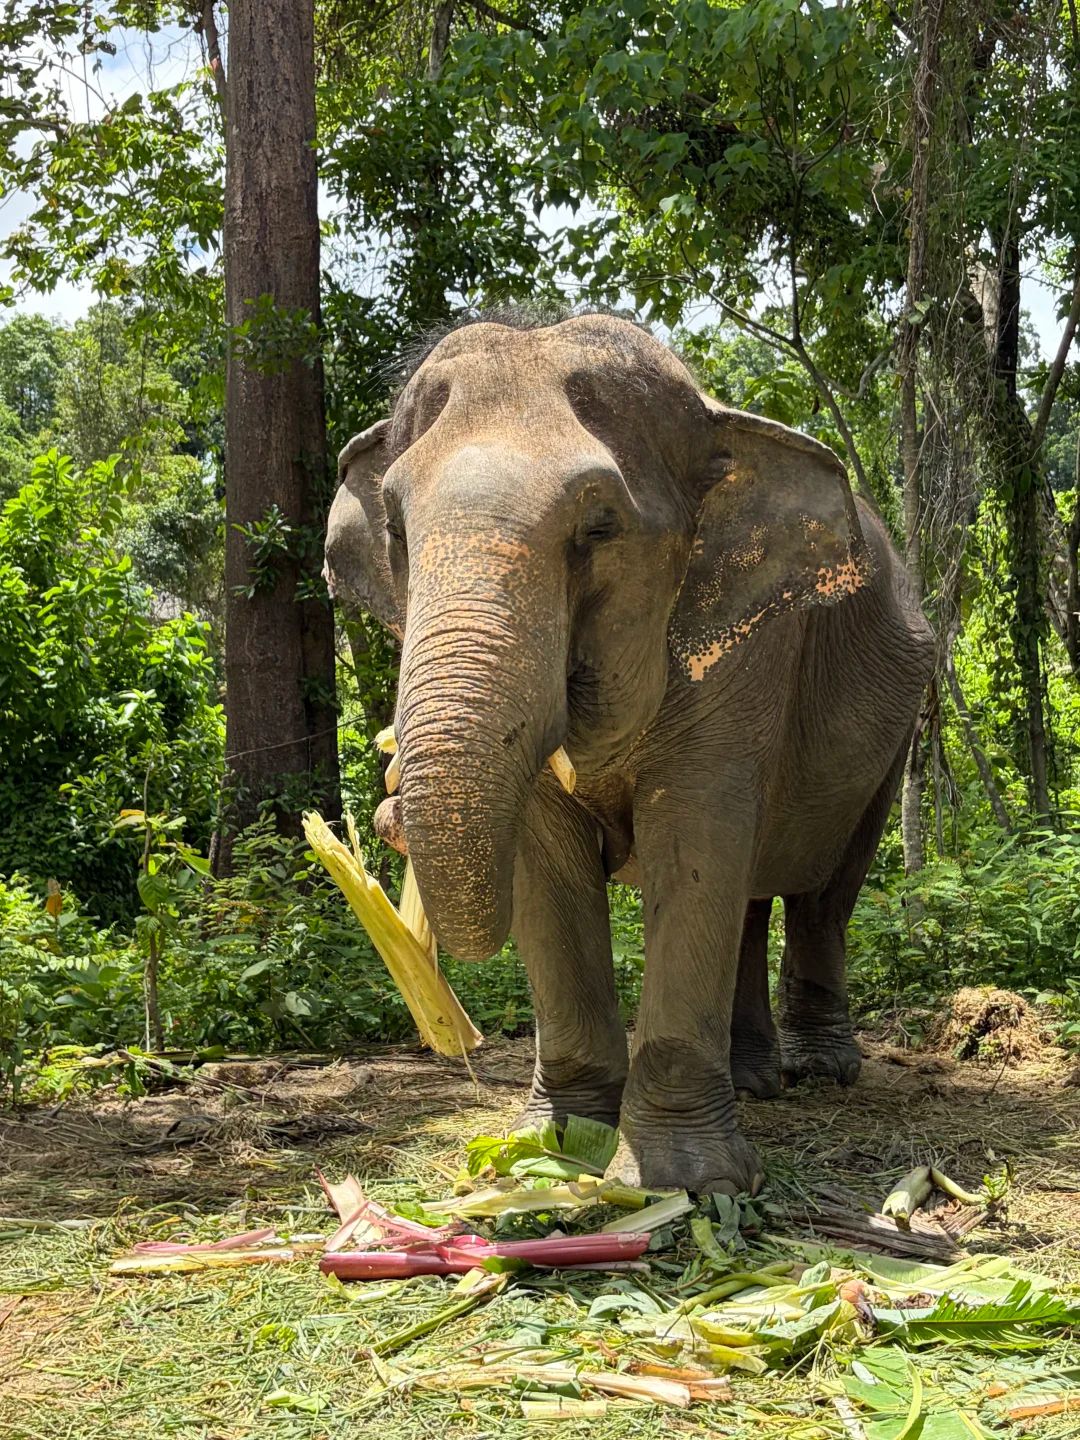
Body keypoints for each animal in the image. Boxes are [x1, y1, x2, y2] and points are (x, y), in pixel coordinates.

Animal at [324, 311, 934, 1196]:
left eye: (599, 527)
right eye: (398, 532)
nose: (387, 812)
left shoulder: (746, 650)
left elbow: (694, 842)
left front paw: (691, 1184)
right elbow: (547, 864)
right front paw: (551, 1150)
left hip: (898, 723)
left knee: (823, 890)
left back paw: (821, 1072)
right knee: (752, 898)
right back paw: (753, 1080)